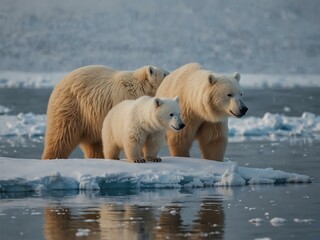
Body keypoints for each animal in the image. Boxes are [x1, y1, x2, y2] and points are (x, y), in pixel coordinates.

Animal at [42, 64, 170, 160]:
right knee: (61, 136)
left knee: (95, 142)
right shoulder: (125, 98)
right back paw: (52, 157)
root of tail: (58, 85)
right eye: (164, 73)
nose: (170, 73)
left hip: (90, 121)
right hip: (72, 107)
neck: (139, 87)